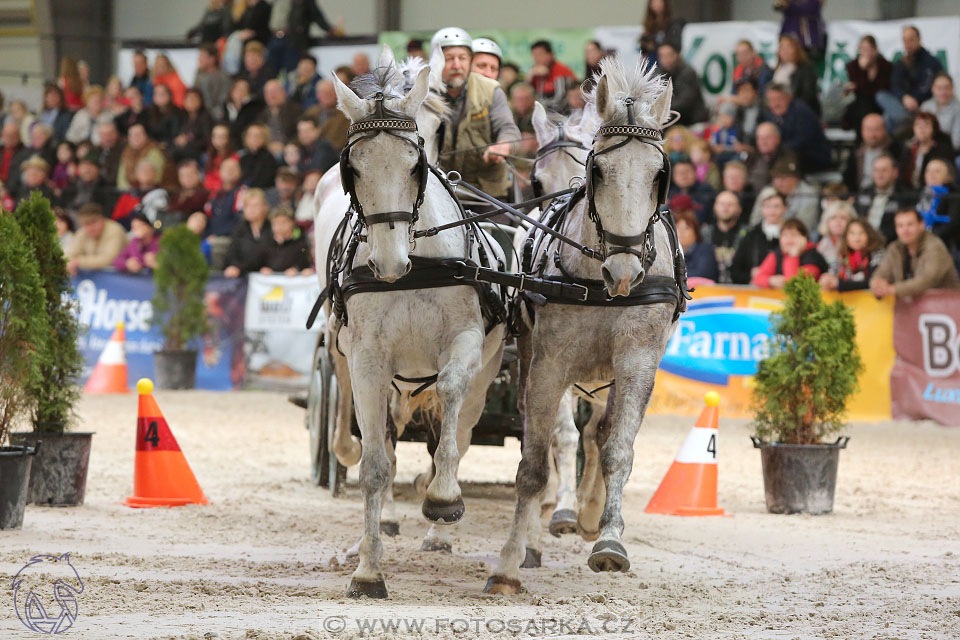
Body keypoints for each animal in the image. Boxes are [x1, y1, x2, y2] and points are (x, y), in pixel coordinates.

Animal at [316, 52, 510, 596]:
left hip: (488, 372)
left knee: (458, 429)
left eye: (415, 165)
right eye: (353, 168)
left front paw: (442, 498)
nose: (387, 262)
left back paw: (438, 523)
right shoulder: (366, 359)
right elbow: (375, 465)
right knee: (367, 433)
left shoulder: (467, 343)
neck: (417, 265)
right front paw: (368, 570)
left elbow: (448, 402)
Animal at [488, 56, 684, 596]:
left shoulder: (637, 362)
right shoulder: (550, 362)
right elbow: (545, 452)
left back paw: (591, 512)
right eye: (598, 171)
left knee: (598, 430)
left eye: (659, 175)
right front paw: (517, 554)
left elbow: (617, 447)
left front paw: (610, 540)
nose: (624, 270)